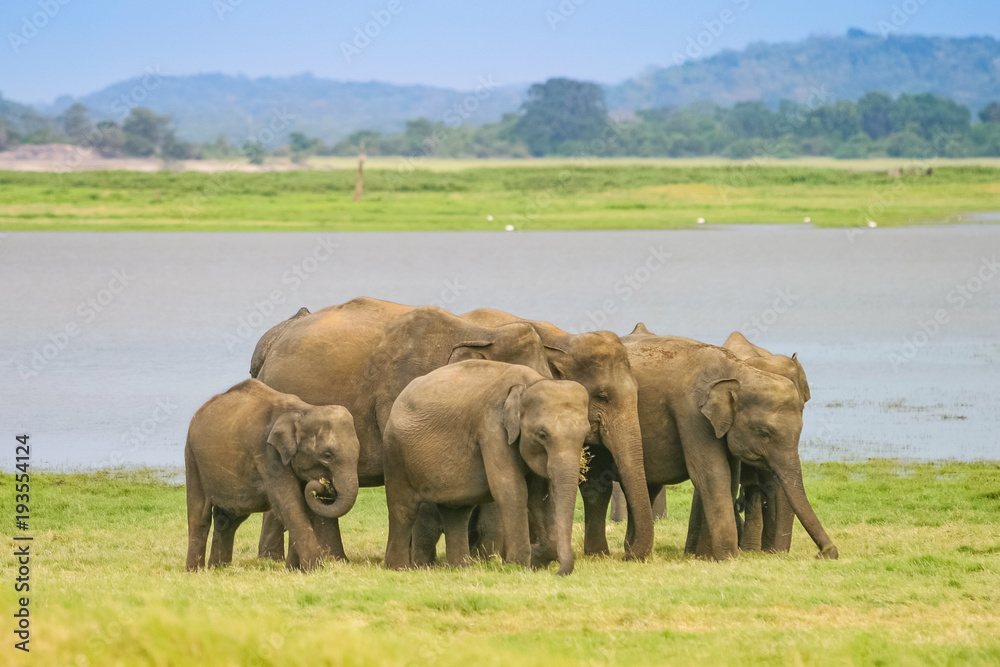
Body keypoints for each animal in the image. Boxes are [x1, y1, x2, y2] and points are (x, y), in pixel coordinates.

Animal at [184, 379, 360, 572]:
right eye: (327, 455)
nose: (324, 484)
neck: (303, 411)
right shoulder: (268, 453)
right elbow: (289, 503)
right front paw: (315, 569)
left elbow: (302, 505)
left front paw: (294, 570)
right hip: (192, 458)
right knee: (200, 514)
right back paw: (194, 571)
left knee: (230, 518)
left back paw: (218, 568)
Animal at [383, 360, 591, 575]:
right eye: (542, 434)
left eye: (586, 434)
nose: (558, 573)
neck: (529, 384)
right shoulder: (491, 428)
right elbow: (511, 490)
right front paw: (517, 566)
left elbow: (540, 498)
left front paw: (536, 560)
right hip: (396, 453)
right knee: (404, 509)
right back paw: (398, 568)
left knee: (457, 512)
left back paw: (461, 567)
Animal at [618, 324, 837, 561]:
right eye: (764, 432)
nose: (824, 554)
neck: (738, 370)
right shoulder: (692, 412)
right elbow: (712, 473)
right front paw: (725, 557)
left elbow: (731, 476)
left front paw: (709, 557)